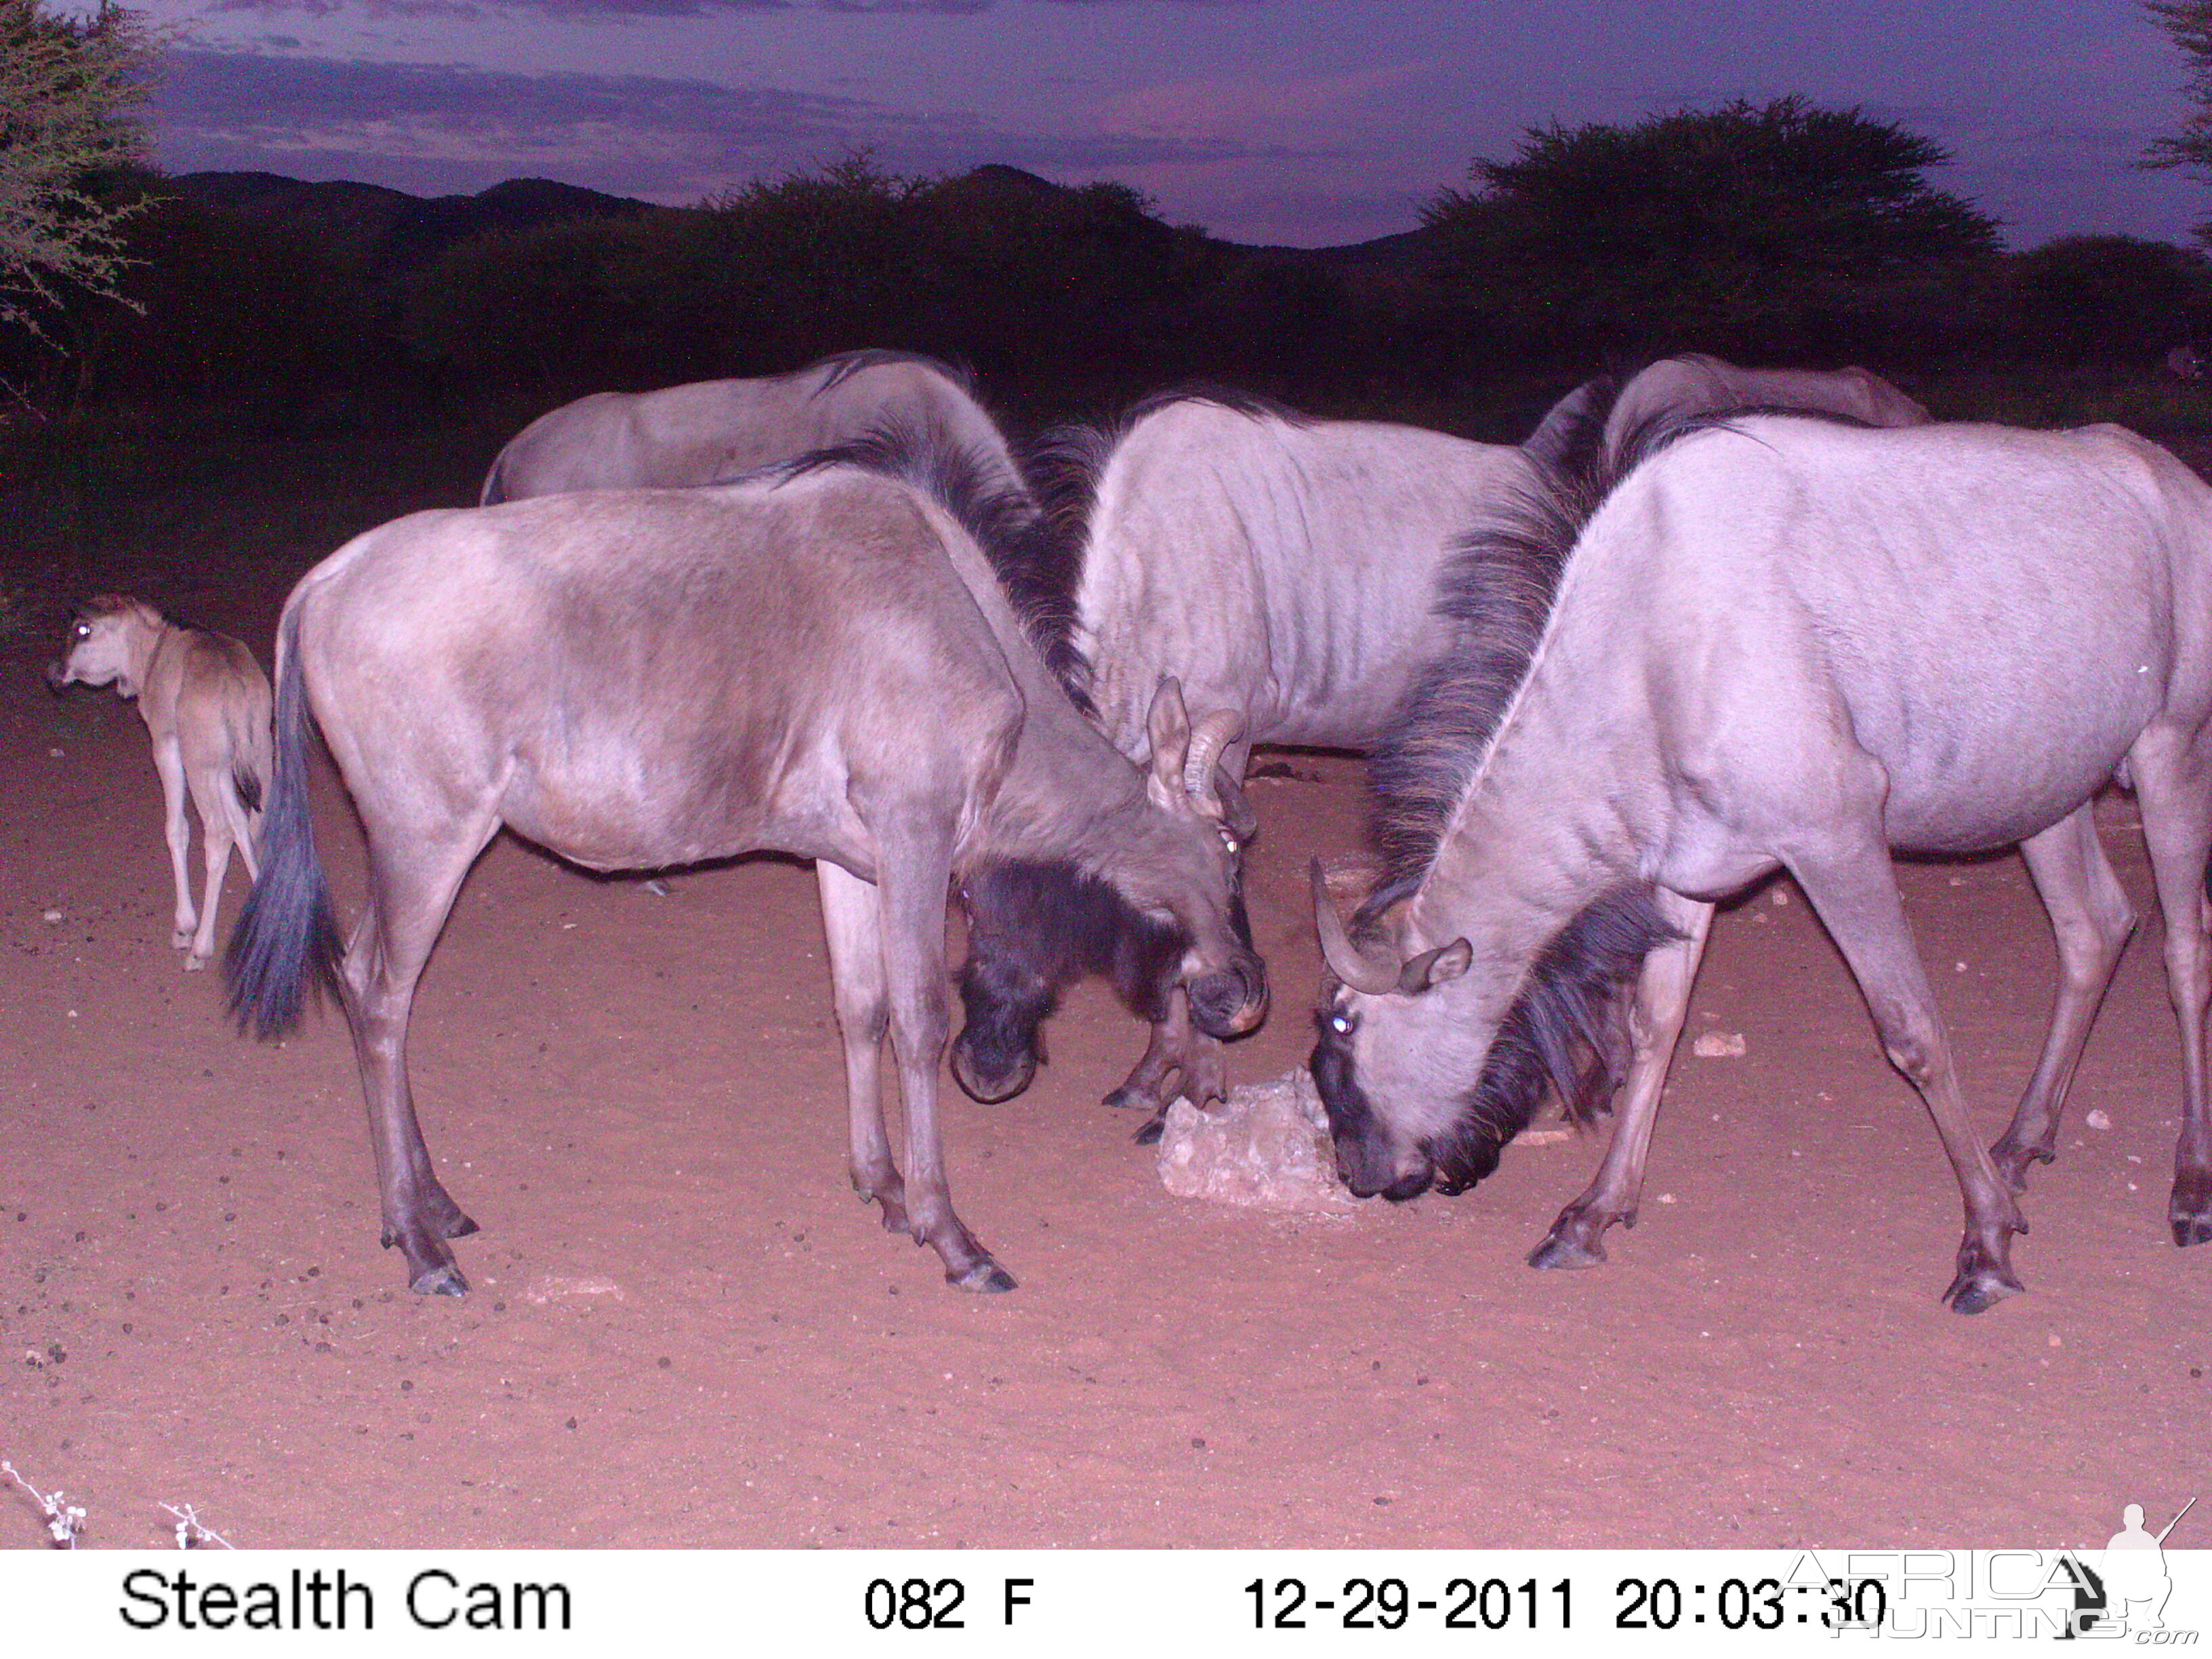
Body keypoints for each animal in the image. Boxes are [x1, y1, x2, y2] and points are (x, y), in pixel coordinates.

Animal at [47, 597, 274, 968]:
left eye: (83, 629)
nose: (55, 672)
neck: (152, 650)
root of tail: (235, 685)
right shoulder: (224, 769)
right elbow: (243, 824)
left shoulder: (167, 745)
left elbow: (177, 828)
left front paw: (185, 927)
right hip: (257, 758)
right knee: (262, 821)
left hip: (199, 766)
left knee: (218, 834)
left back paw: (200, 947)